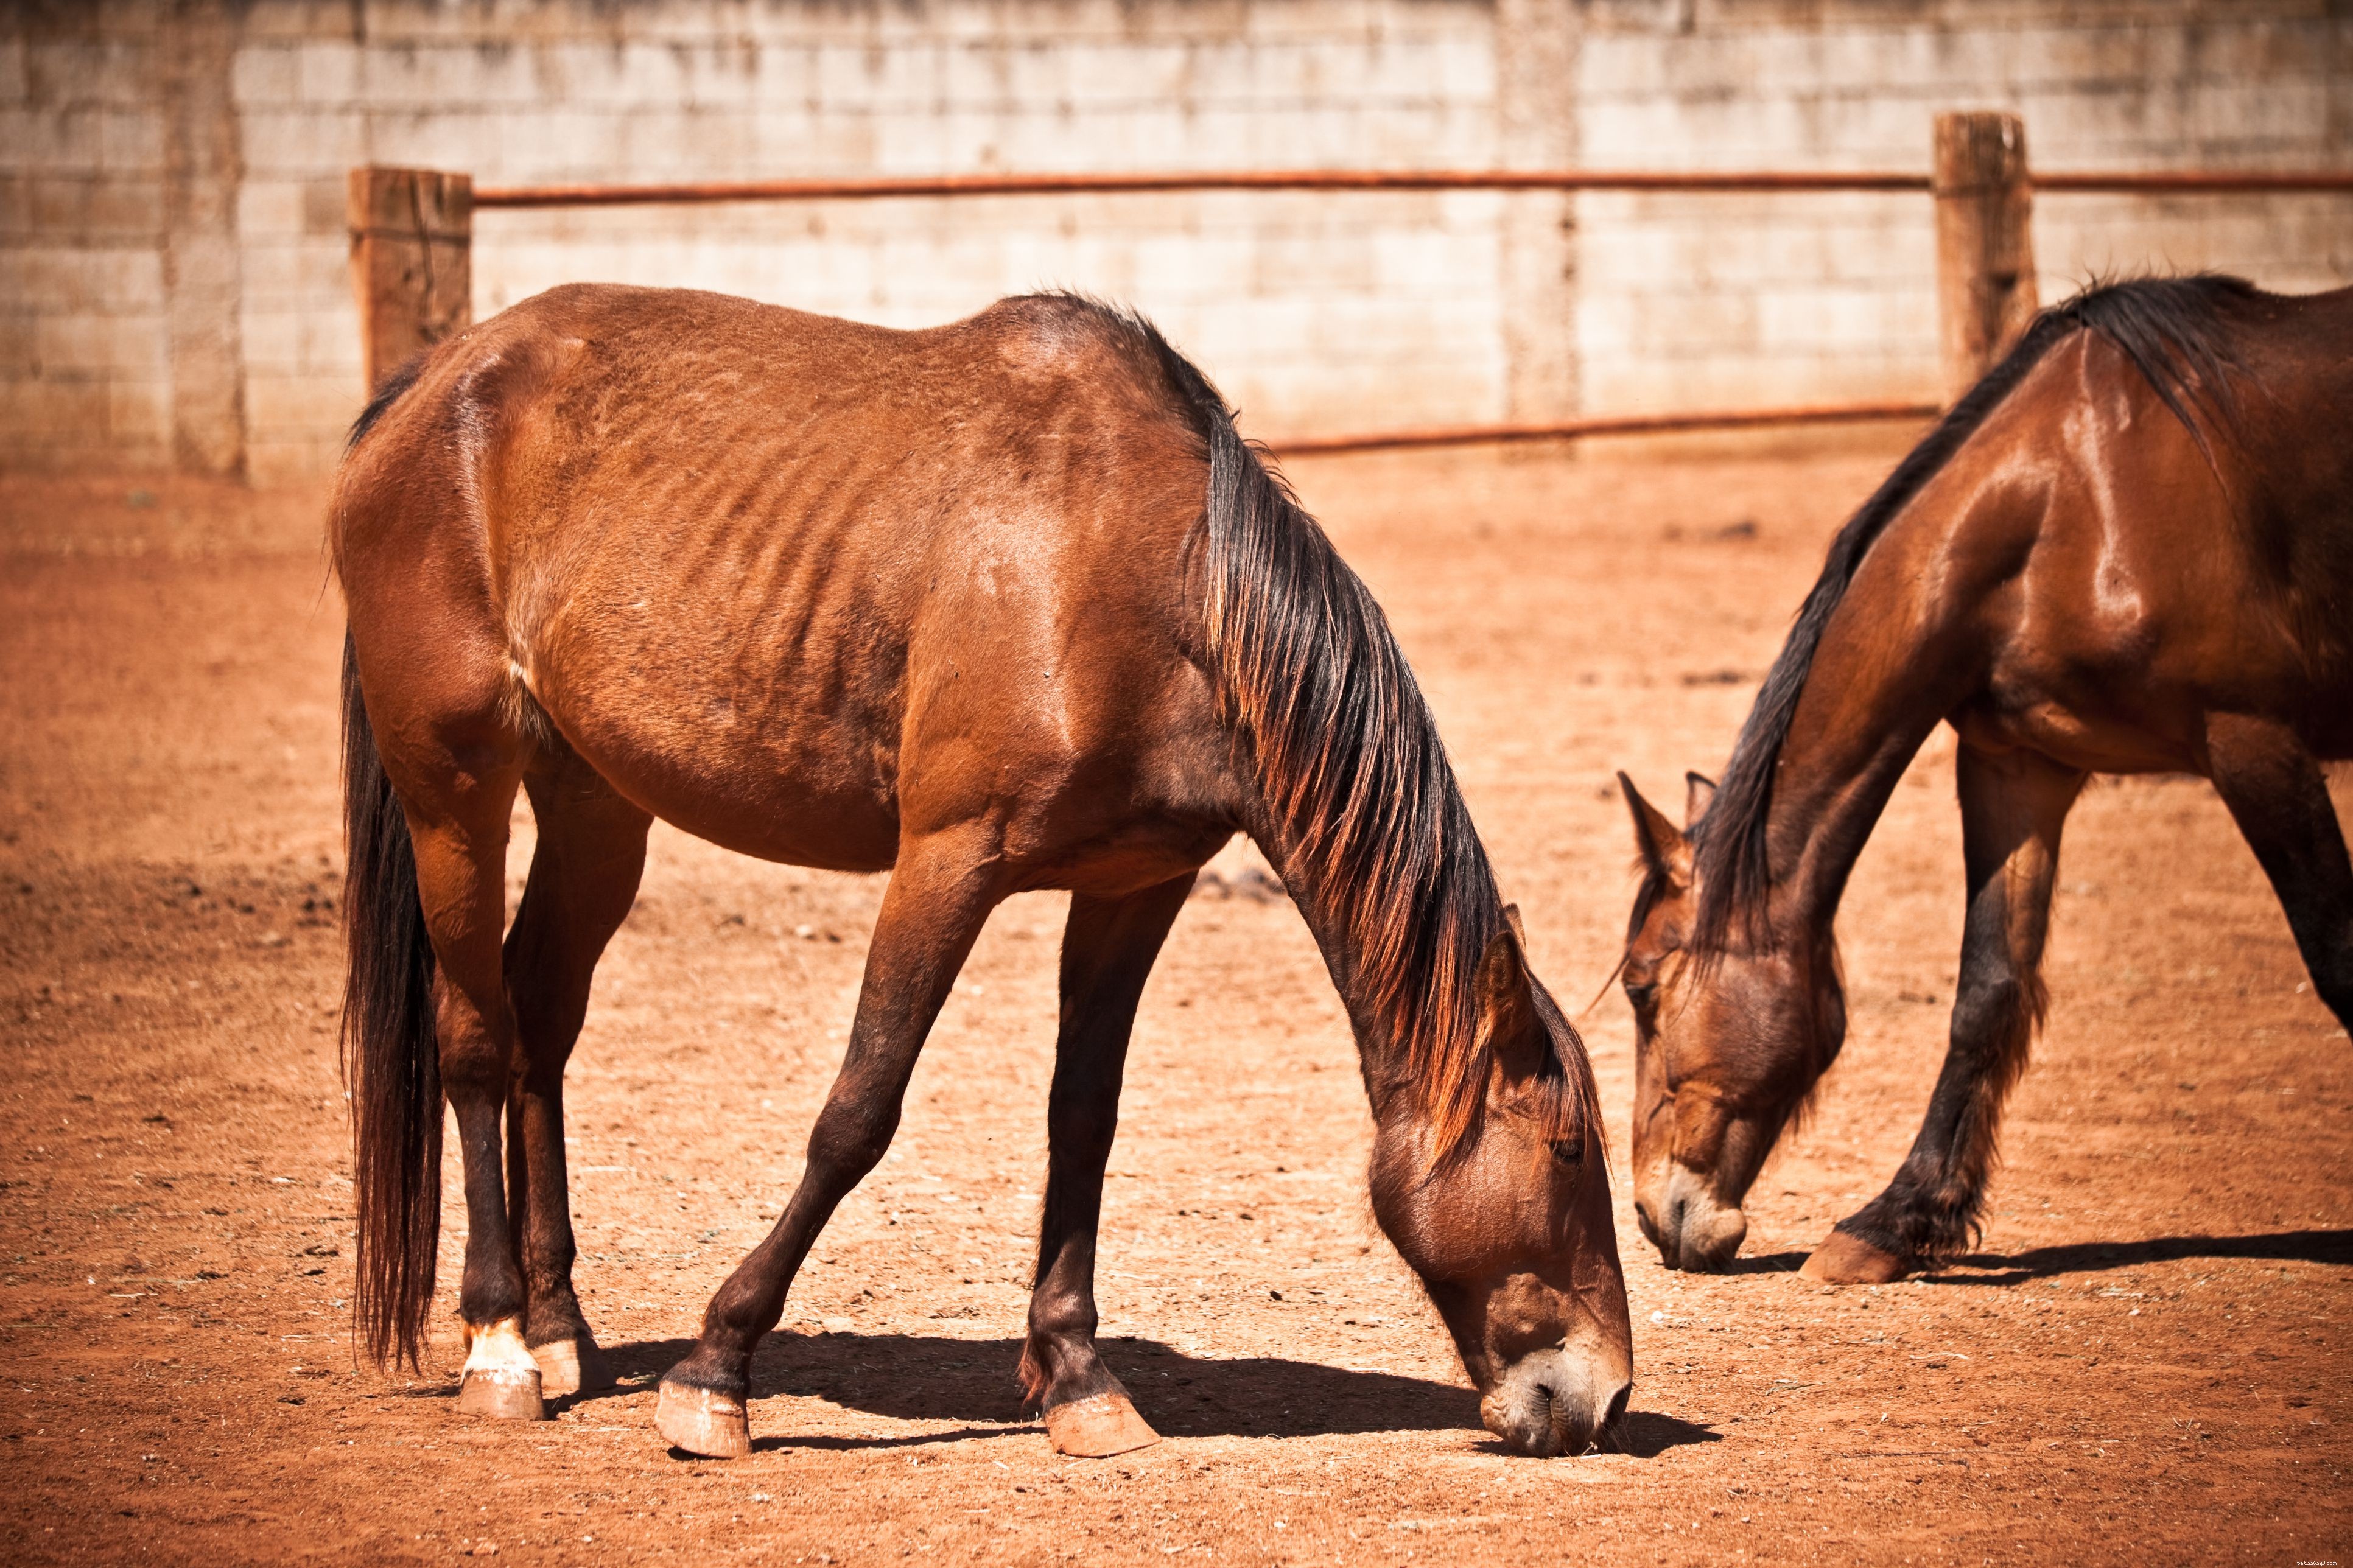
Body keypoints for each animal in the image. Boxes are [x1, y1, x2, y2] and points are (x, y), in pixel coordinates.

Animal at [332, 284, 1632, 1460]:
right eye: (1571, 1151)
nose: (1606, 1396)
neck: (1153, 577)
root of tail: (434, 386)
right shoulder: (947, 862)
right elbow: (858, 1112)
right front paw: (718, 1370)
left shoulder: (1133, 887)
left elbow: (1084, 1118)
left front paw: (1078, 1377)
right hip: (454, 791)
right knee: (475, 1036)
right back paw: (502, 1344)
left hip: (598, 804)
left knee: (541, 1025)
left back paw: (560, 1328)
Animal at [1615, 275, 2353, 1283]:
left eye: (1641, 988)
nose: (1656, 1216)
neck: (2069, 495)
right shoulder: (2020, 766)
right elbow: (1987, 992)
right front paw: (1894, 1222)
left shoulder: (2254, 740)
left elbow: (2339, 954)